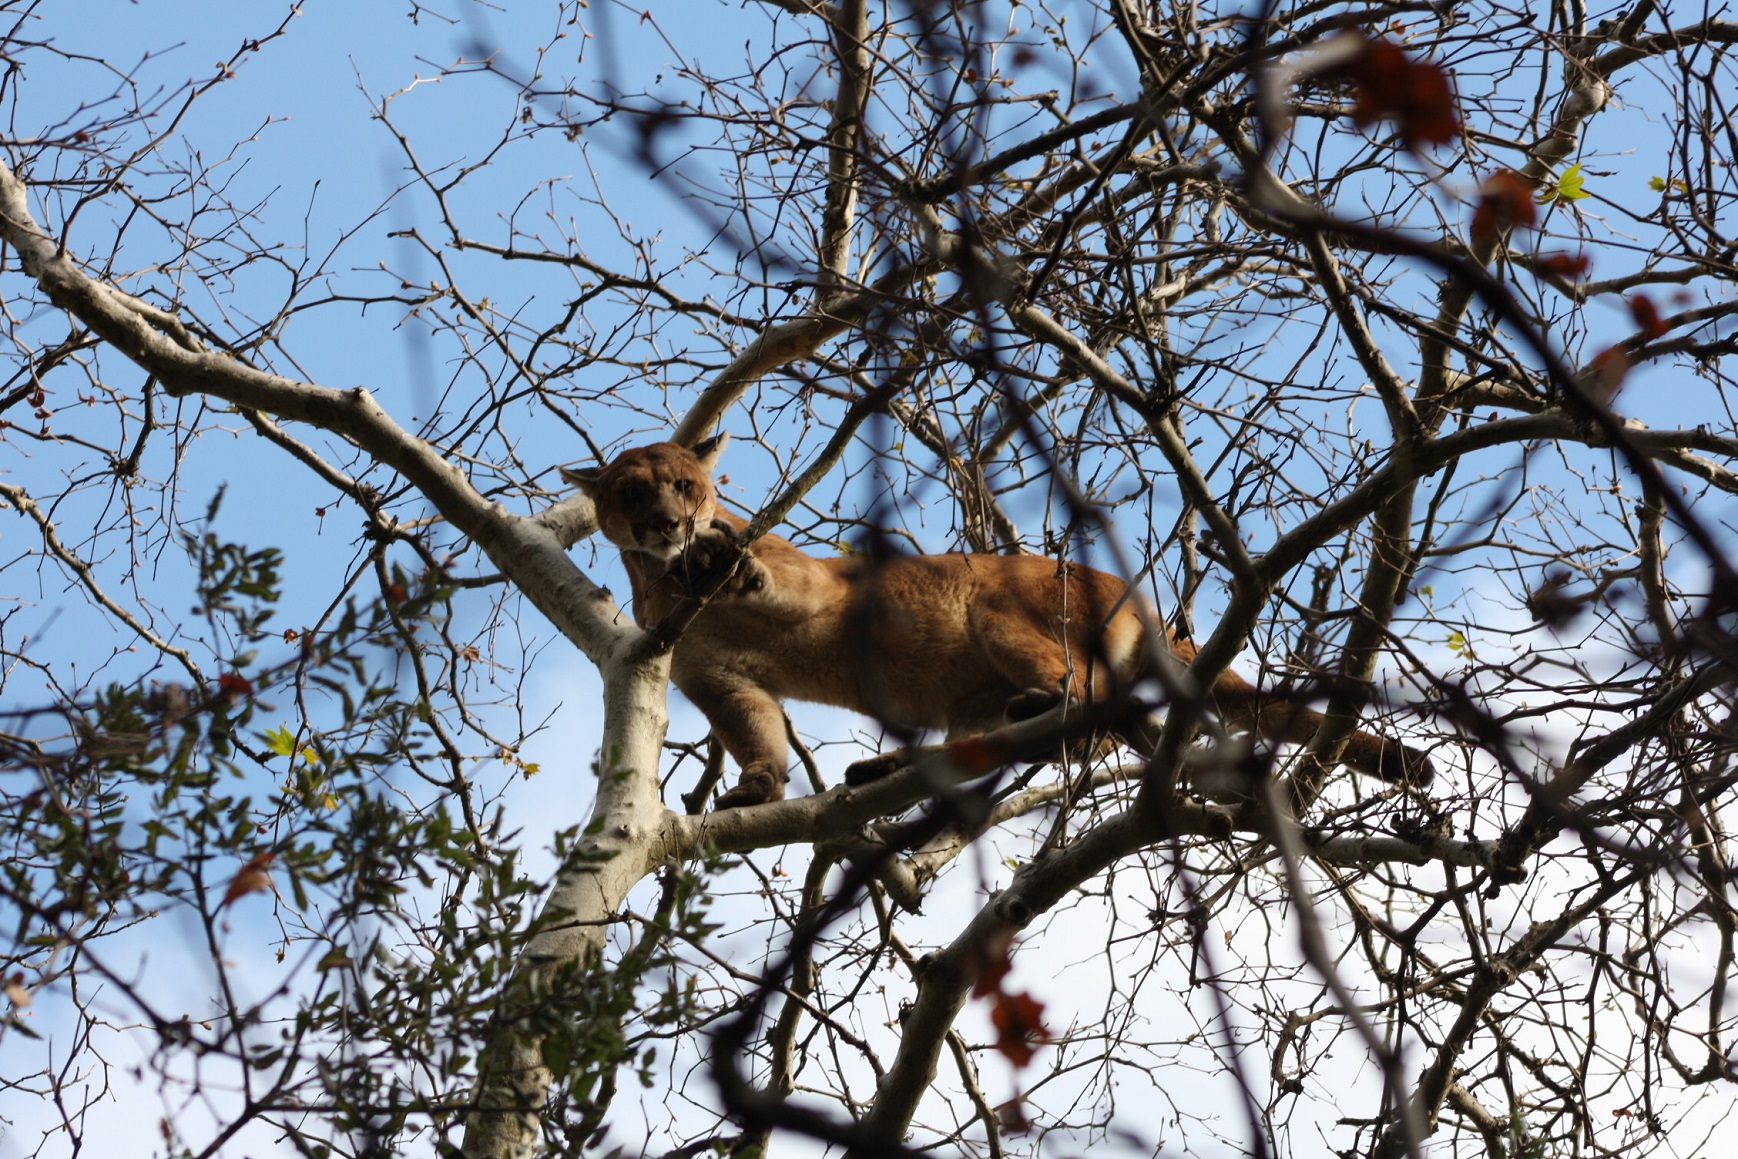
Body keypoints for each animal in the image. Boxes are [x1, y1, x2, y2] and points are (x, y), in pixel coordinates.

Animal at [563, 434, 1432, 806]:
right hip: (968, 691)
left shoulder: (818, 585)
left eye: (684, 483)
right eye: (632, 492)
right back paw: (888, 769)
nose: (665, 524)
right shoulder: (720, 680)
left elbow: (765, 573)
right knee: (992, 740)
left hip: (1000, 618)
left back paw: (1039, 710)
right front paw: (757, 785)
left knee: (1085, 701)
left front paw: (721, 559)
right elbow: (757, 732)